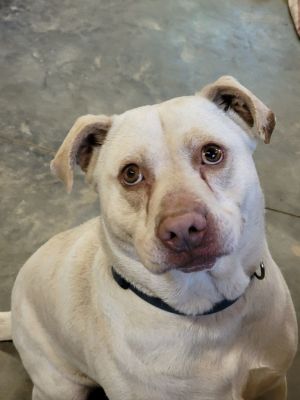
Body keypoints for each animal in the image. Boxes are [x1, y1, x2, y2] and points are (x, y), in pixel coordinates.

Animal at [0, 76, 298, 398]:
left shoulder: (273, 383)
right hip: (59, 386)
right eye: (131, 174)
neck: (207, 313)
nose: (183, 229)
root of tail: (13, 316)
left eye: (212, 153)